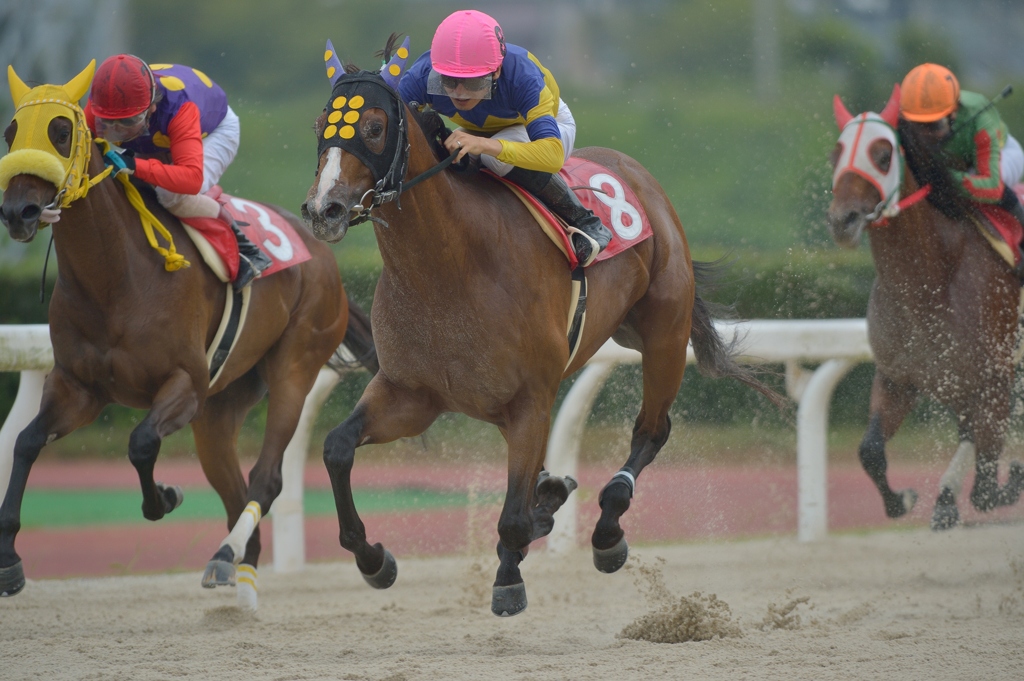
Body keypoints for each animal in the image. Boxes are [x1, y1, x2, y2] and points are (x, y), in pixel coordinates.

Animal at [0, 62, 374, 610]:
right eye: (10, 133)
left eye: (61, 131)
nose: (18, 213)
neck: (112, 278)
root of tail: (322, 252)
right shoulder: (78, 388)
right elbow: (26, 442)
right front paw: (9, 557)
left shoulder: (184, 384)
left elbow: (140, 443)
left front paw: (165, 497)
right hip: (220, 408)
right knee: (234, 489)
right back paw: (238, 572)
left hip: (294, 365)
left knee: (266, 477)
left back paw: (228, 554)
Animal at [300, 37, 781, 617]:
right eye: (320, 123)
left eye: (373, 127)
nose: (323, 209)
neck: (449, 267)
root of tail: (636, 172)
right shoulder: (410, 393)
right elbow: (337, 448)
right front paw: (373, 559)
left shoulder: (532, 398)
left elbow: (511, 516)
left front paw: (509, 577)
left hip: (665, 332)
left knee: (652, 430)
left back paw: (607, 530)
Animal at [827, 84, 1024, 529]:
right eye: (836, 154)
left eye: (883, 155)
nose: (843, 221)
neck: (928, 283)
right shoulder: (898, 377)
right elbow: (870, 449)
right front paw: (903, 500)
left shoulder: (994, 381)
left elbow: (986, 489)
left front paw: (1010, 481)